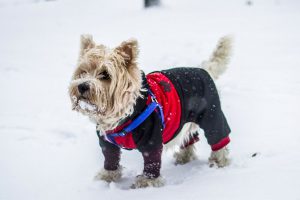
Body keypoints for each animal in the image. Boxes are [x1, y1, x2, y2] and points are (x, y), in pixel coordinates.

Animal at [68, 34, 232, 189]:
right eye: (83, 72)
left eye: (105, 75)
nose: (82, 86)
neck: (123, 114)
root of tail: (203, 70)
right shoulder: (107, 143)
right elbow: (110, 159)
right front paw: (107, 177)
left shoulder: (151, 140)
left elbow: (152, 163)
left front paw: (147, 184)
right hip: (184, 120)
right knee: (189, 138)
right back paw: (183, 157)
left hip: (211, 116)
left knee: (219, 138)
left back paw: (219, 162)